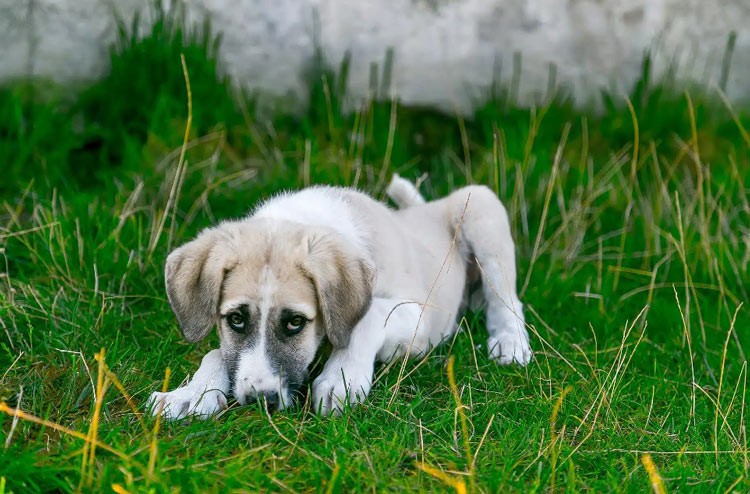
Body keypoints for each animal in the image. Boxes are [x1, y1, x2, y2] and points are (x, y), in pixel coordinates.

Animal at [150, 176, 532, 418]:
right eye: (236, 319)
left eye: (295, 322)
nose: (261, 400)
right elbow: (217, 352)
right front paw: (191, 393)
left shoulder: (419, 317)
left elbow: (369, 317)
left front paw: (342, 378)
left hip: (481, 207)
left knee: (507, 298)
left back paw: (510, 342)